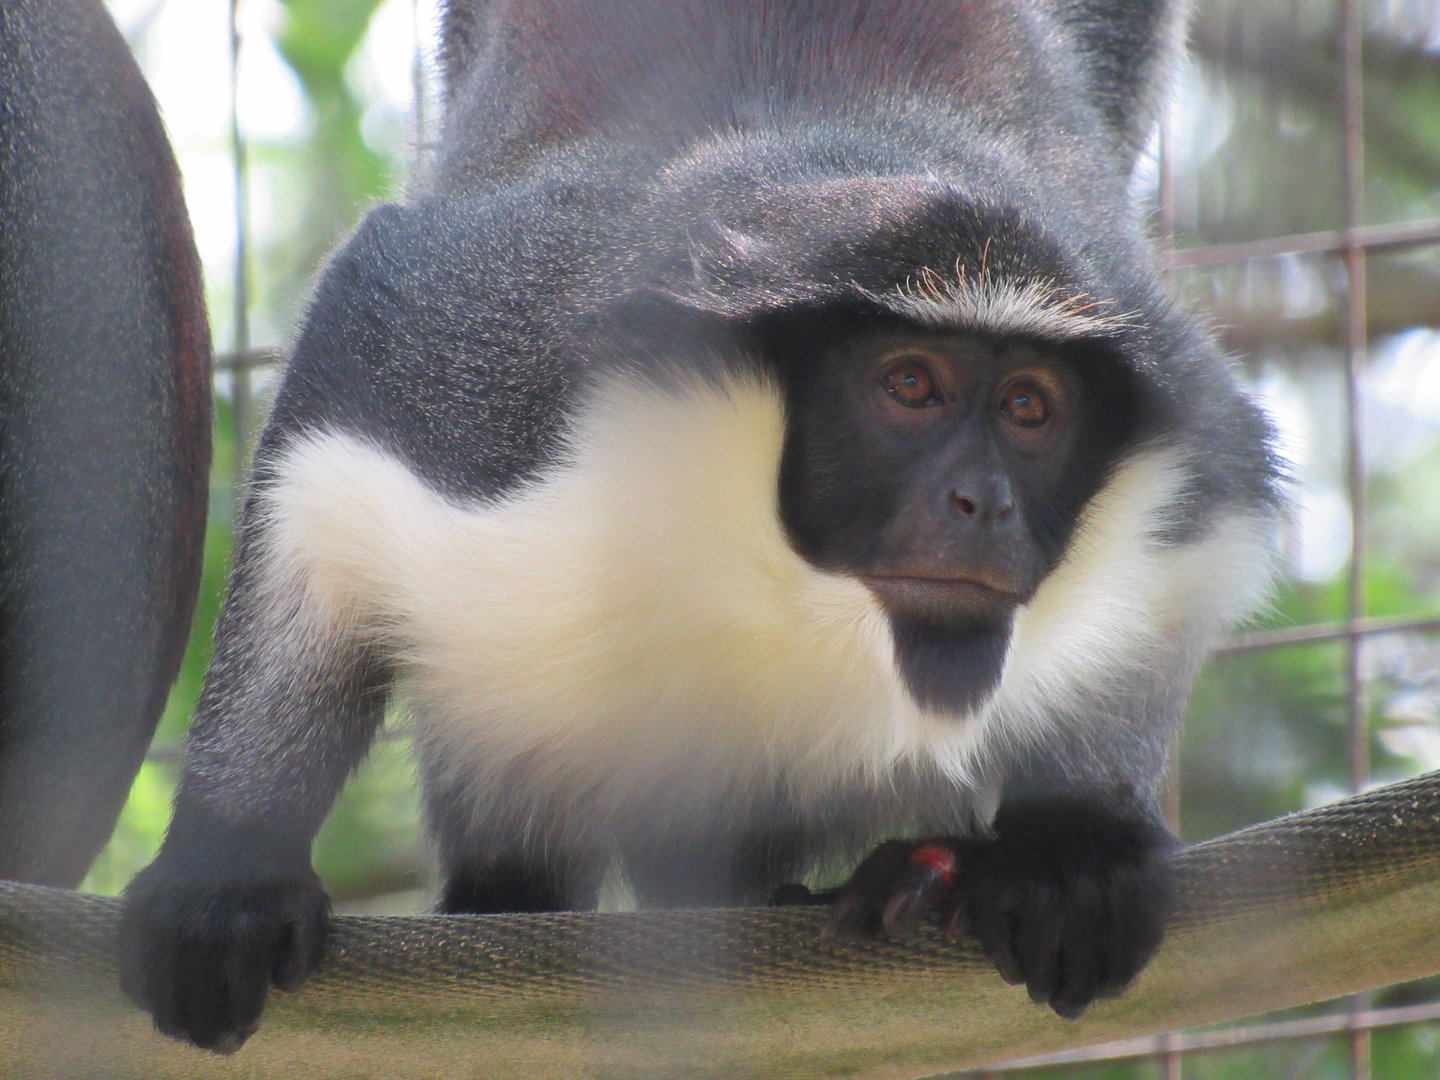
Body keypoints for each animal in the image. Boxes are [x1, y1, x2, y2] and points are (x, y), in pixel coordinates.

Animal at [120, 0, 1283, 1052]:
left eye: (1031, 409)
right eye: (910, 386)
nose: (985, 503)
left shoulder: (1170, 391)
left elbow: (1212, 511)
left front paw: (1073, 844)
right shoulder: (480, 364)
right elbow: (333, 434)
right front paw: (228, 874)